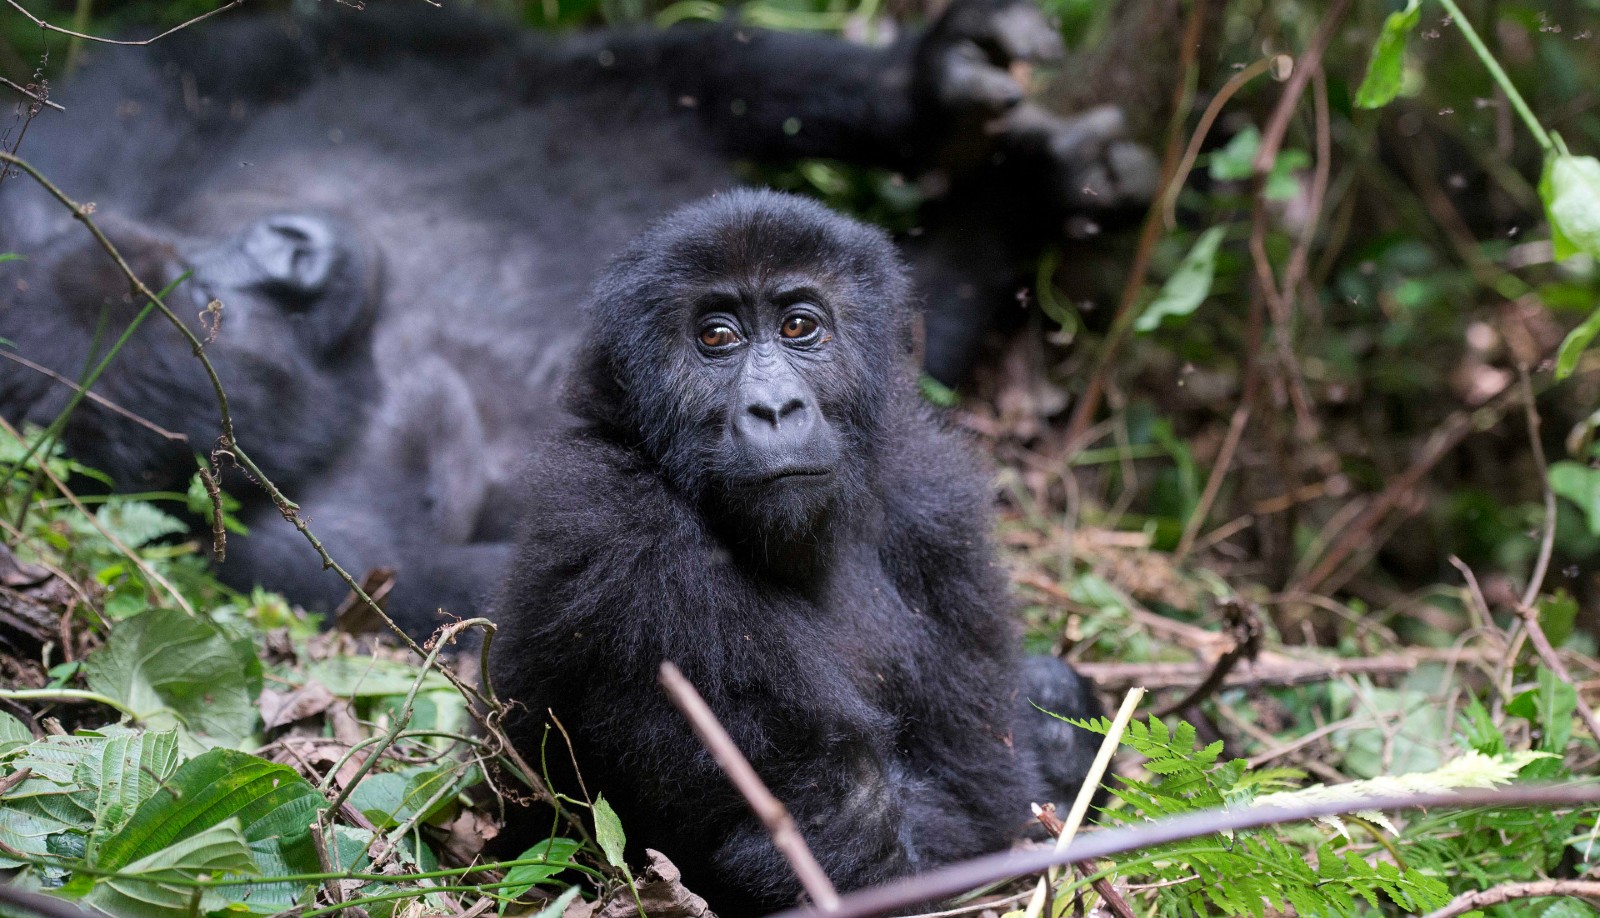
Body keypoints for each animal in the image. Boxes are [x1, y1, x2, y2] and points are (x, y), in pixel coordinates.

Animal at [0, 0, 1152, 636]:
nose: (288, 248)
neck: (359, 377)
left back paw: (937, 99)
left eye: (177, 263)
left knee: (635, 72)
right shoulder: (268, 555)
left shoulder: (100, 154)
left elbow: (162, 73)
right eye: (209, 318)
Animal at [492, 188, 1107, 918]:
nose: (776, 408)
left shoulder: (931, 497)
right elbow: (860, 834)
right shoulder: (617, 526)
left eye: (798, 326)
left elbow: (982, 773)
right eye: (716, 338)